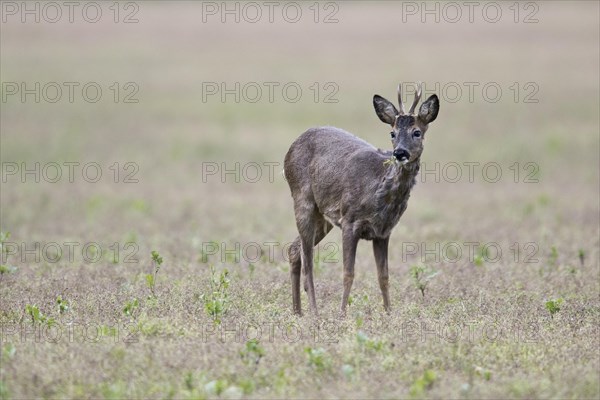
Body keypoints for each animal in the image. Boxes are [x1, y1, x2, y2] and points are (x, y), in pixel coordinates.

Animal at [284, 82, 438, 316]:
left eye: (417, 132)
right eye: (392, 133)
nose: (400, 153)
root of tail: (290, 149)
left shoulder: (383, 232)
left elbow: (384, 276)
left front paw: (388, 313)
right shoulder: (349, 221)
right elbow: (348, 273)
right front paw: (341, 314)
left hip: (323, 216)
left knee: (294, 250)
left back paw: (297, 312)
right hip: (302, 197)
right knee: (308, 260)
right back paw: (314, 312)